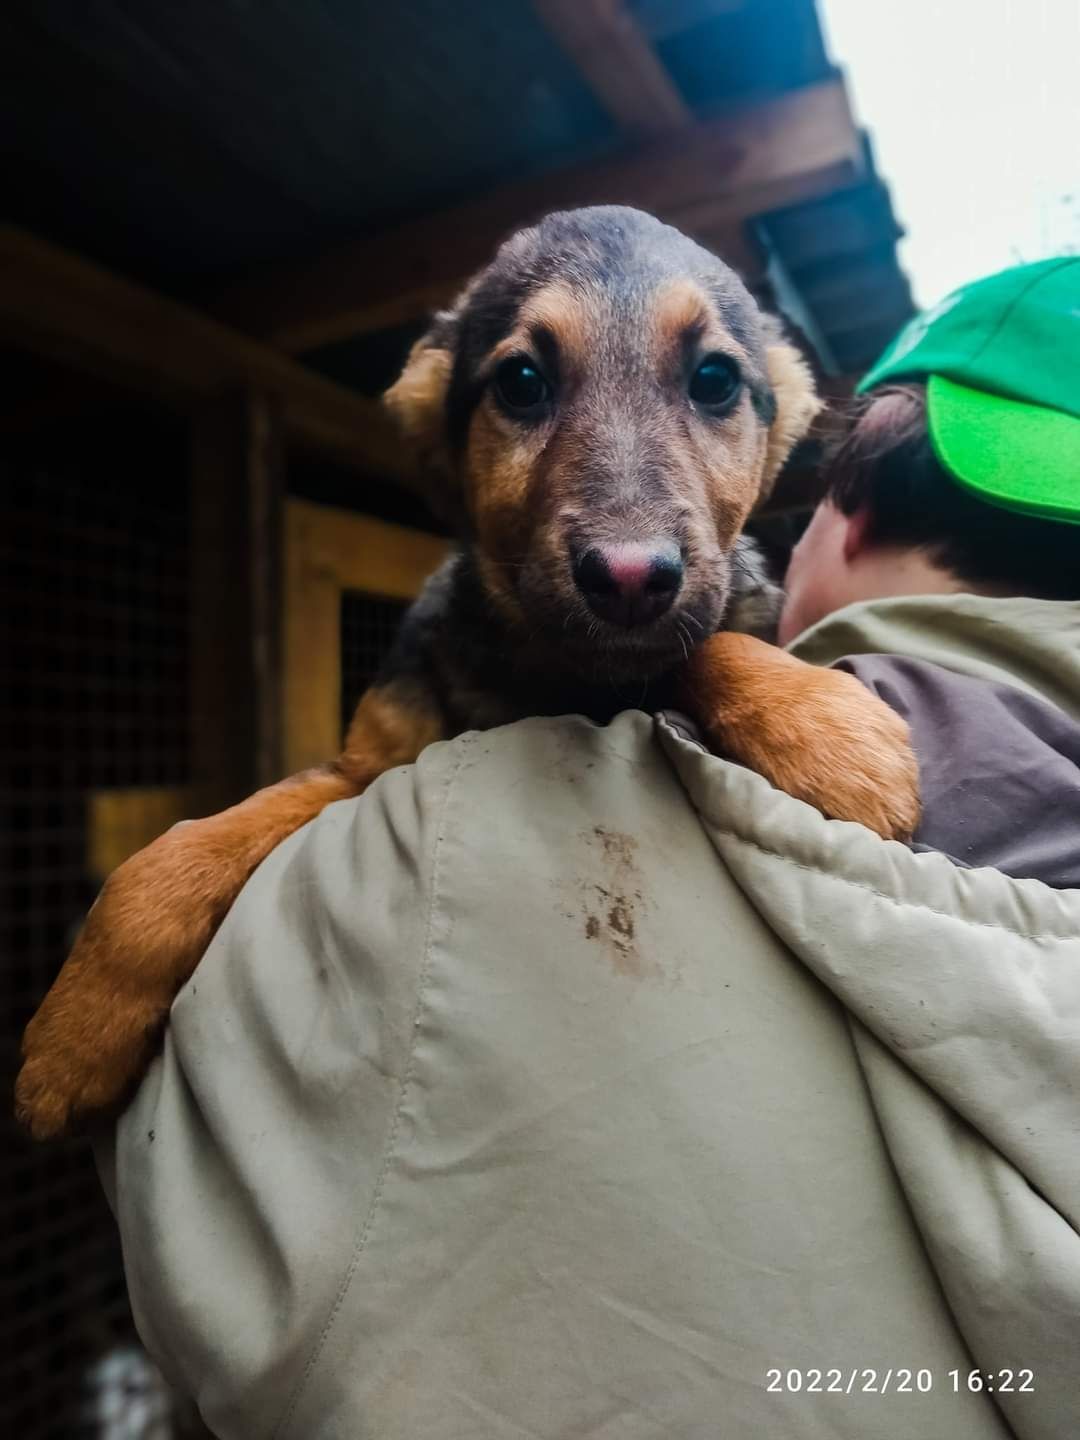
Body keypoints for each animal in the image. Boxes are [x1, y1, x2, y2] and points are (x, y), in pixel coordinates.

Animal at [14, 208, 921, 1140]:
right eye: (521, 381)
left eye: (713, 380)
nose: (629, 578)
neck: (555, 679)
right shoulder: (366, 768)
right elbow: (183, 848)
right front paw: (74, 1035)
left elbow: (700, 644)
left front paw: (821, 726)